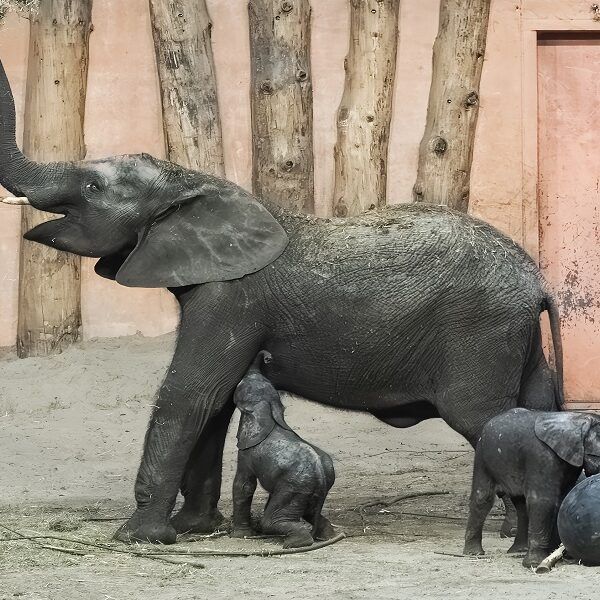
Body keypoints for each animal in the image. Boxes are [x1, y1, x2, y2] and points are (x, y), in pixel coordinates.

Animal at [231, 350, 336, 552]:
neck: (269, 406)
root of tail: (320, 472)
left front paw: (240, 535)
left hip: (296, 486)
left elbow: (244, 485)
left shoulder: (247, 451)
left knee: (271, 520)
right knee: (310, 513)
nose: (267, 357)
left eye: (241, 385)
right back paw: (327, 536)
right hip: (313, 489)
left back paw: (294, 544)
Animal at [464, 408, 600, 568]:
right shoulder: (542, 456)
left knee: (520, 504)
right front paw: (534, 564)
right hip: (482, 455)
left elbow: (561, 497)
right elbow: (542, 501)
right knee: (482, 498)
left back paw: (519, 550)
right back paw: (474, 553)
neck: (579, 419)